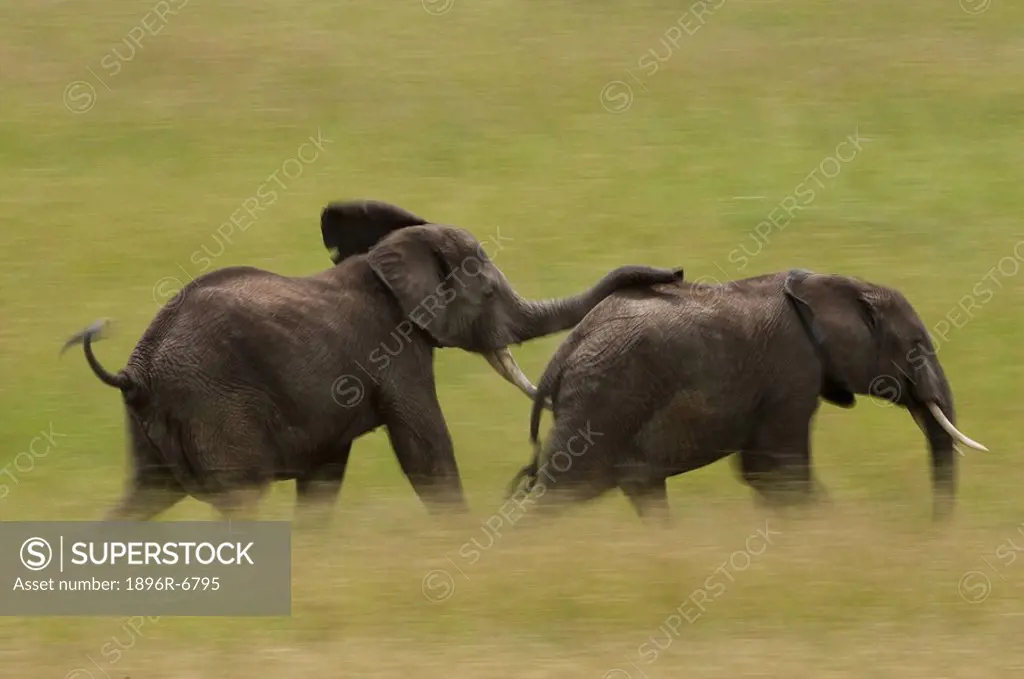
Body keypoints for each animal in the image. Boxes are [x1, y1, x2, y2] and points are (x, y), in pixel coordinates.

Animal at [59, 199, 684, 522]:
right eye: (486, 294)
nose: (675, 272)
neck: (393, 253)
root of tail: (136, 369)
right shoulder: (396, 349)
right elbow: (425, 449)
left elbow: (324, 476)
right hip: (213, 406)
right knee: (238, 501)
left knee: (141, 498)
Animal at [507, 268, 987, 522]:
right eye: (917, 347)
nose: (930, 530)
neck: (830, 284)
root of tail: (565, 351)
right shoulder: (791, 373)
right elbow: (779, 472)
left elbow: (765, 475)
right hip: (604, 401)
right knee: (561, 493)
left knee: (640, 487)